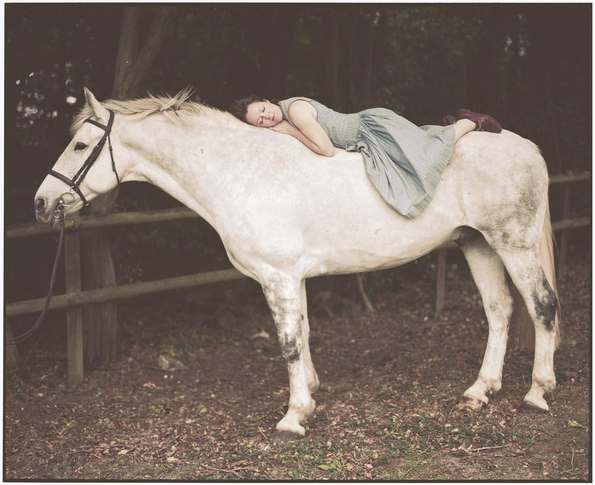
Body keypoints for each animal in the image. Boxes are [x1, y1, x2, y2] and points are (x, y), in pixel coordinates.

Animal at [35, 89, 560, 436]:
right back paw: (479, 391)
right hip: (477, 245)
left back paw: (536, 392)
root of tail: (528, 148)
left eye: (80, 146)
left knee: (542, 307)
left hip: (512, 245)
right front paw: (309, 397)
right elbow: (303, 333)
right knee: (499, 311)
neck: (241, 173)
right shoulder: (294, 278)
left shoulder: (278, 276)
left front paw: (292, 417)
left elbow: (288, 343)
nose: (42, 204)